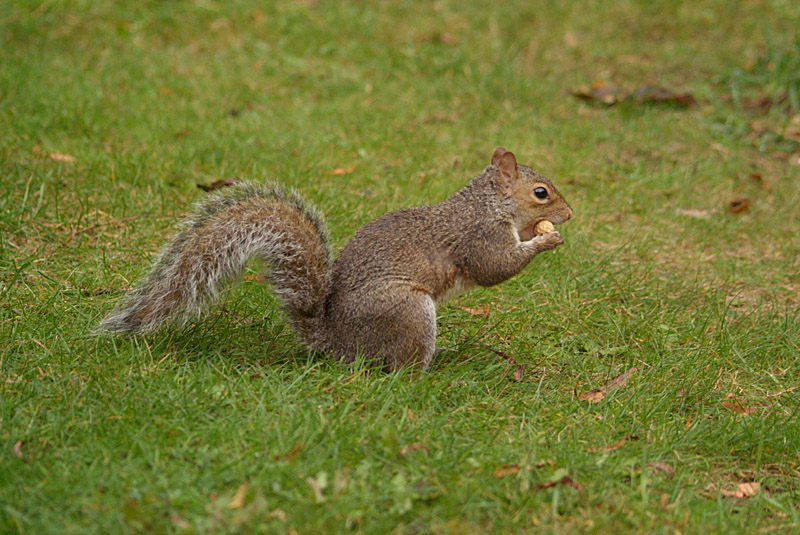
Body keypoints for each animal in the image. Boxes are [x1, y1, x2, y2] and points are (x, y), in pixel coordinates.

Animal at [97, 149, 572, 370]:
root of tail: (337, 344)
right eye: (541, 192)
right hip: (406, 310)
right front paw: (547, 240)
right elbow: (495, 268)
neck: (489, 204)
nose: (569, 214)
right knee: (398, 367)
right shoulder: (479, 236)